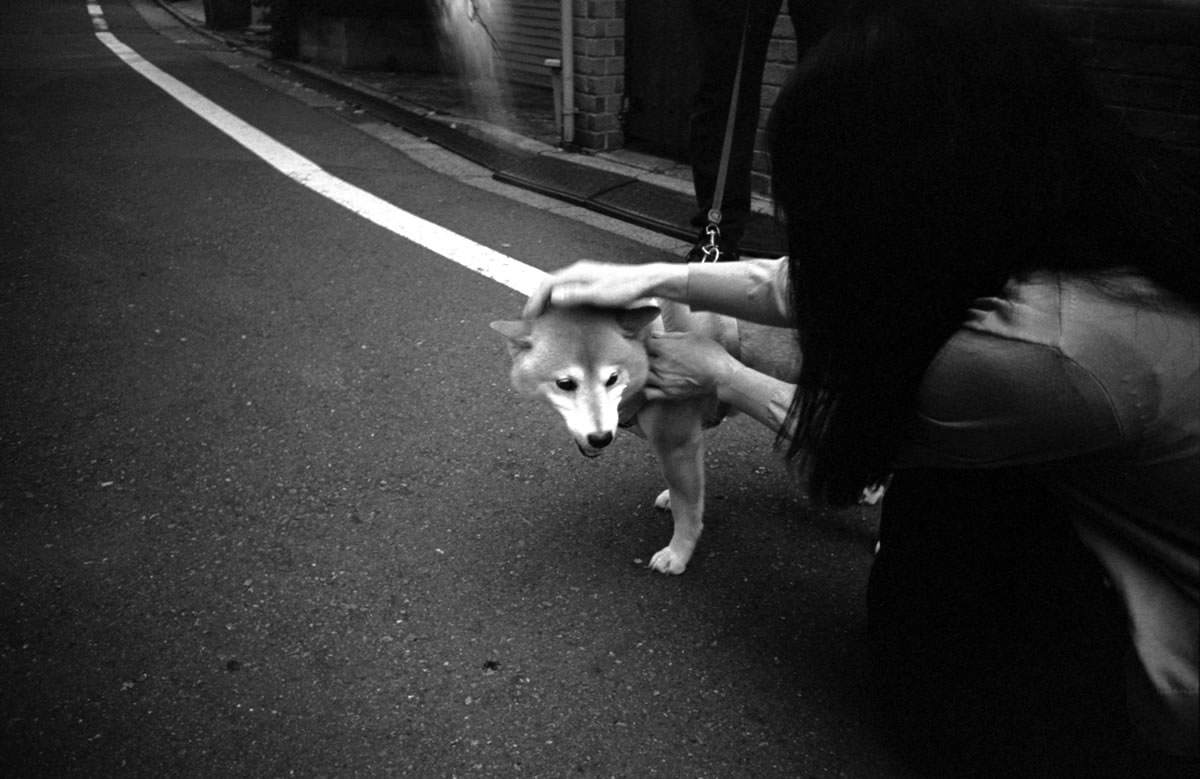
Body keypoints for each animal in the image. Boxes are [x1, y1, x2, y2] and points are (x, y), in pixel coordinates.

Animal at [492, 297, 801, 571]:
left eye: (613, 378)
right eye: (565, 384)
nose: (600, 438)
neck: (650, 340)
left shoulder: (676, 443)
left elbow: (687, 510)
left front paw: (678, 554)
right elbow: (686, 492)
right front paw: (672, 500)